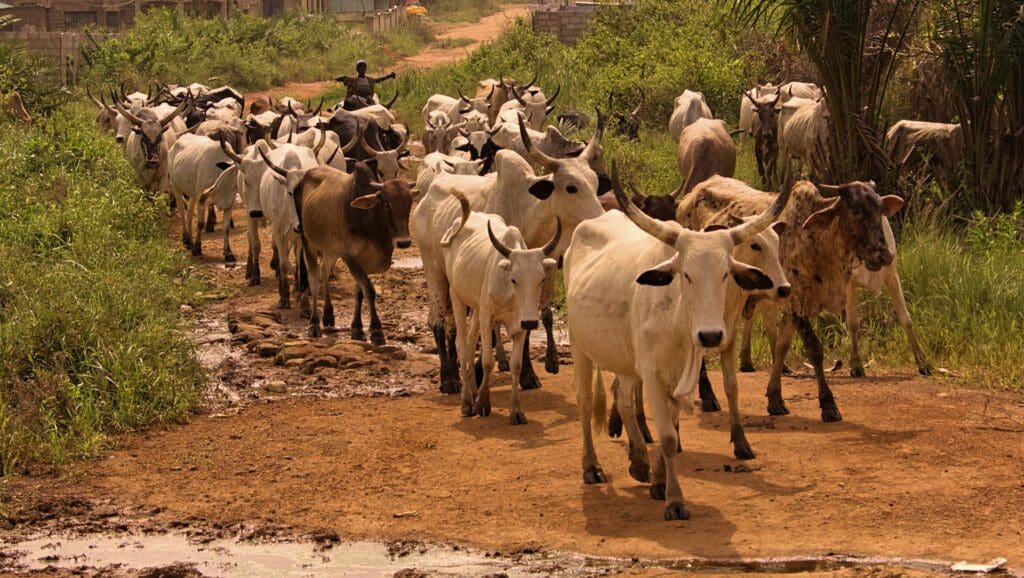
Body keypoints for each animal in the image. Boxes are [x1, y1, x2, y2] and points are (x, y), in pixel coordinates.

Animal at [296, 162, 416, 343]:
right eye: (387, 203)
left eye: (409, 203)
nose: (404, 242)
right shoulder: (350, 256)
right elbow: (369, 289)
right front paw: (376, 330)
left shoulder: (364, 260)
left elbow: (360, 292)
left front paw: (357, 328)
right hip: (307, 240)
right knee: (314, 280)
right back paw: (314, 324)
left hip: (331, 249)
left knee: (324, 271)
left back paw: (328, 315)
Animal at [440, 191, 561, 423]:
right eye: (514, 279)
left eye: (541, 279)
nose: (531, 322)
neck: (512, 296)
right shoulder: (488, 317)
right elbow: (488, 361)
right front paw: (483, 403)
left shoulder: (520, 324)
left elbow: (516, 365)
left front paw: (516, 411)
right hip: (456, 295)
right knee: (462, 344)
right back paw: (467, 402)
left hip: (477, 307)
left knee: (470, 341)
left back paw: (472, 393)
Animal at [563, 164, 788, 520]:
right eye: (686, 274)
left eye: (725, 274)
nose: (710, 335)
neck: (678, 322)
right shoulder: (654, 375)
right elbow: (668, 437)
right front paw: (674, 499)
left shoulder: (682, 374)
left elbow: (674, 423)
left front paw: (657, 480)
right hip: (581, 346)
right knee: (585, 400)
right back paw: (592, 467)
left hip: (626, 359)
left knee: (623, 398)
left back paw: (638, 461)